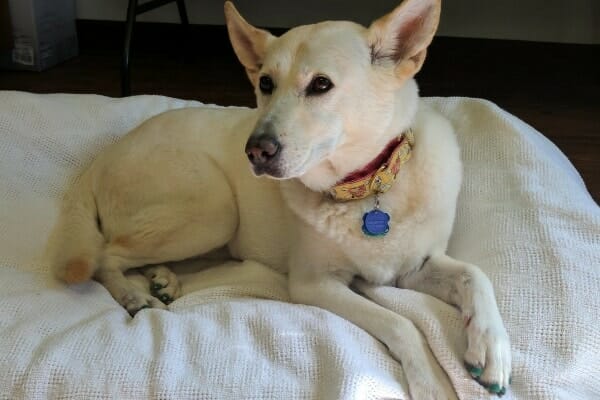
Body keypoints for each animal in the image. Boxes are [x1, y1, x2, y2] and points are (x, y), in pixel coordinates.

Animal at [48, 0, 510, 396]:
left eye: (321, 84)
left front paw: (491, 346)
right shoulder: (314, 284)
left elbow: (474, 275)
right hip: (214, 209)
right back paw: (133, 294)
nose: (255, 151)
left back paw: (164, 278)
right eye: (265, 84)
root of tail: (100, 158)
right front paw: (433, 382)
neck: (366, 190)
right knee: (106, 255)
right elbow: (401, 324)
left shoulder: (412, 269)